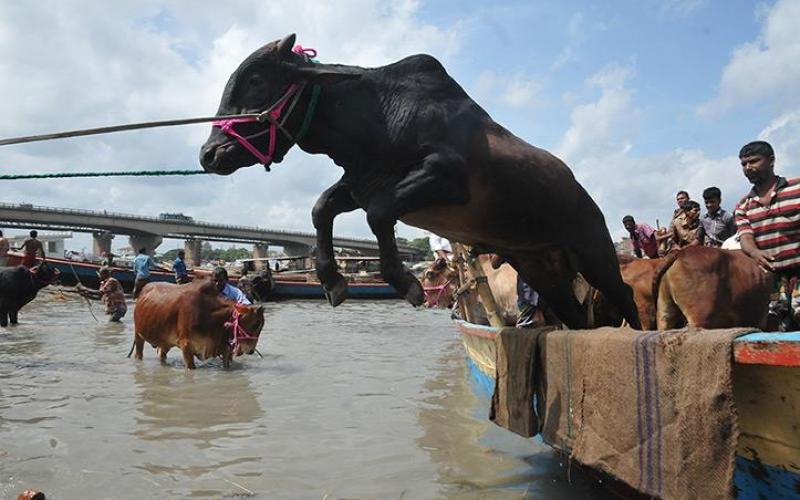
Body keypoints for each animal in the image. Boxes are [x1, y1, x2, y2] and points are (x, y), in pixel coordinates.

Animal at [134, 280, 266, 370]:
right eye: (256, 324)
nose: (251, 351)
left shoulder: (224, 347)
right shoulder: (186, 345)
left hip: (165, 342)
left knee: (161, 355)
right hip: (138, 335)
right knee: (139, 353)